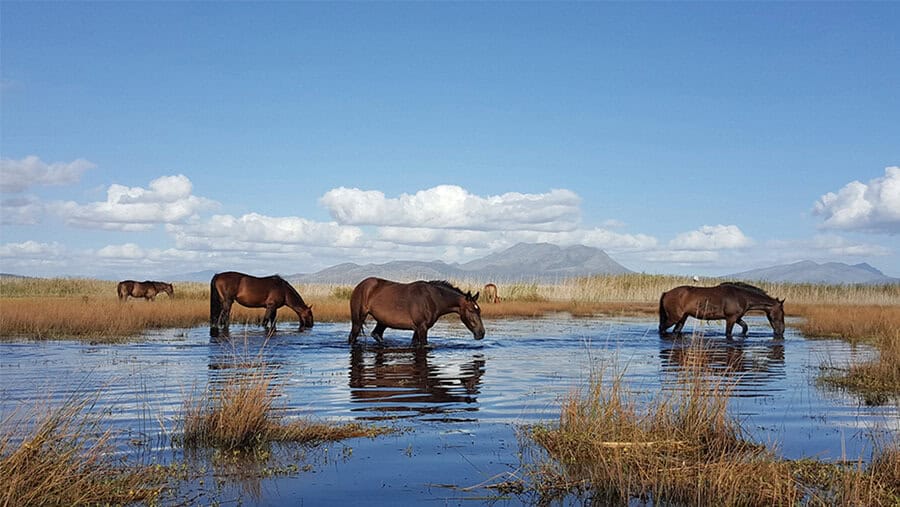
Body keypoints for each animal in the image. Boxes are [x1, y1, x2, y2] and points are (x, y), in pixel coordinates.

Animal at [348, 277, 485, 347]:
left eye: (479, 310)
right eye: (471, 310)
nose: (481, 333)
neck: (433, 298)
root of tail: (360, 286)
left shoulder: (417, 328)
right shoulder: (422, 328)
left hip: (382, 321)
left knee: (376, 334)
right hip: (358, 320)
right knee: (353, 337)